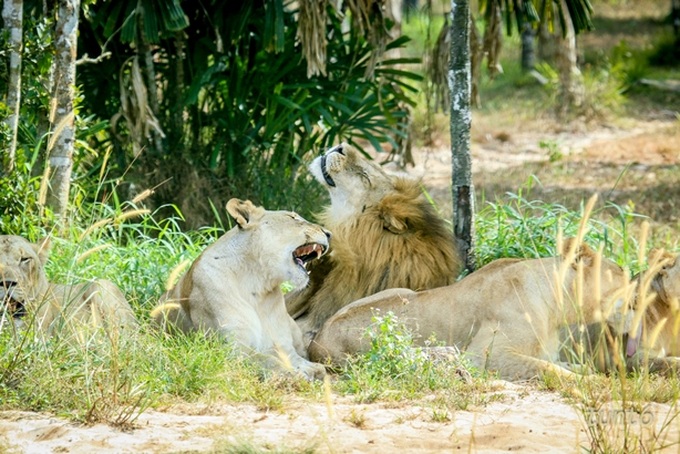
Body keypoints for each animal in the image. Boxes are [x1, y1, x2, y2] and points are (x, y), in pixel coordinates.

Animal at [151, 199, 330, 380]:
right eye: (292, 217)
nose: (329, 234)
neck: (258, 286)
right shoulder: (230, 349)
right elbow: (267, 360)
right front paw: (294, 375)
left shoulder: (282, 345)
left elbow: (305, 362)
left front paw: (311, 371)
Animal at [310, 239, 636, 382]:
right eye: (621, 272)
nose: (638, 295)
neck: (559, 308)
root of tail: (317, 339)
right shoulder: (485, 356)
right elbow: (549, 370)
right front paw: (594, 382)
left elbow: (566, 365)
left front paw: (588, 373)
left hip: (402, 291)